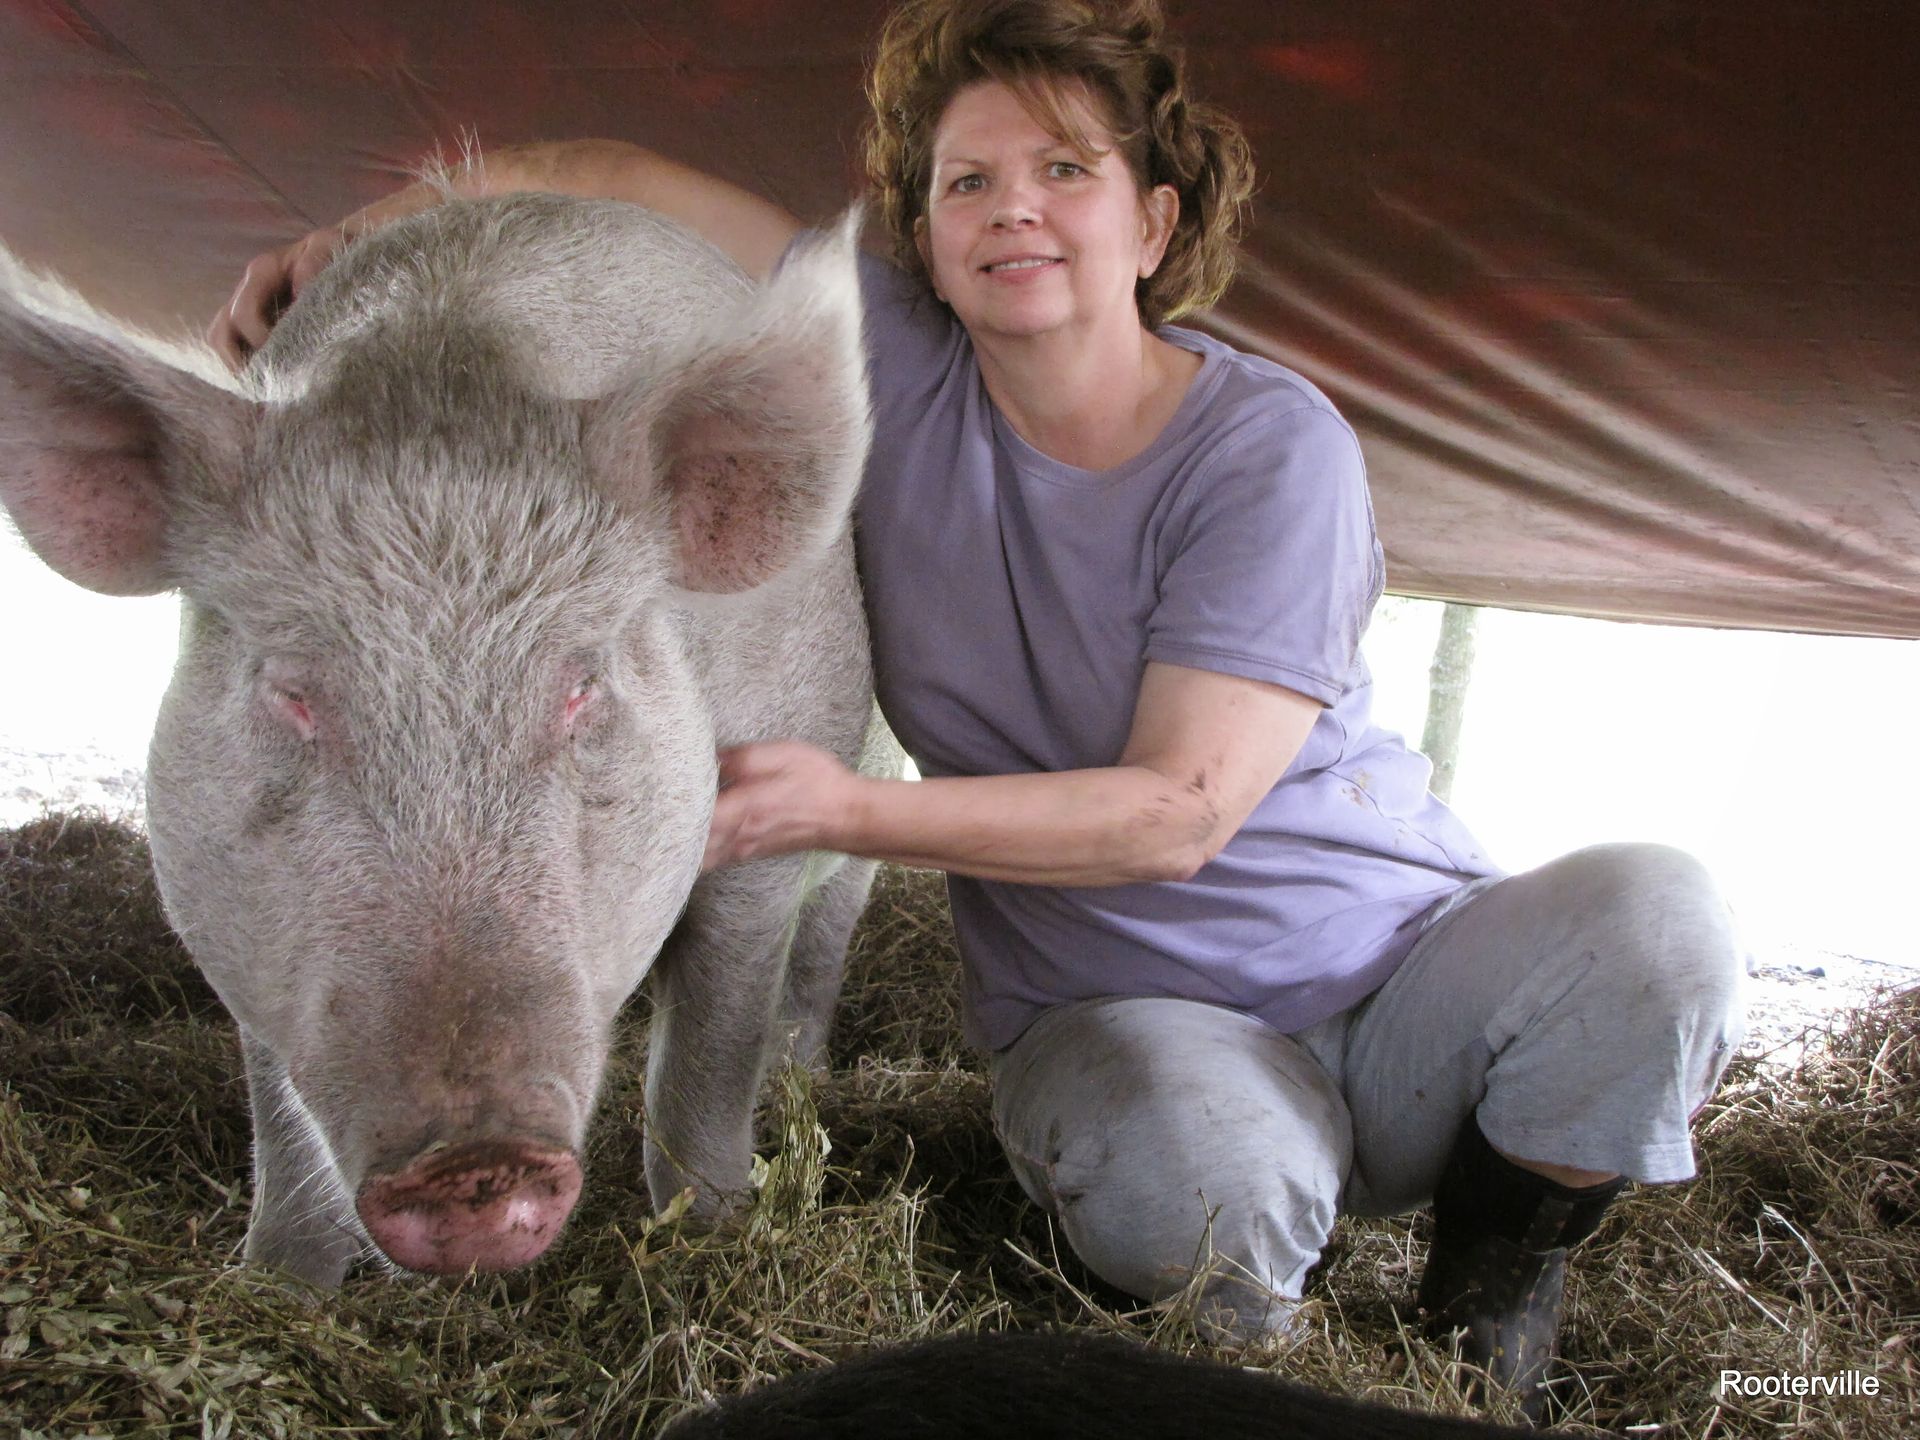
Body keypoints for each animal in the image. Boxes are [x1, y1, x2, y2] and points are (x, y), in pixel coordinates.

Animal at [0, 193, 889, 1287]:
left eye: (582, 685)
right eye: (289, 691)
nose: (473, 1159)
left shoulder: (771, 802)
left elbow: (712, 1045)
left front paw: (715, 1228)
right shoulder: (233, 904)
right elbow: (276, 1106)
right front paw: (279, 1280)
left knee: (821, 945)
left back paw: (803, 1069)